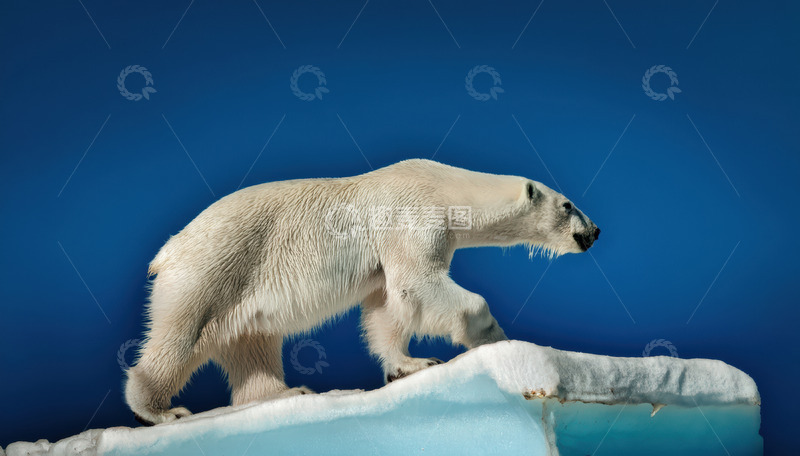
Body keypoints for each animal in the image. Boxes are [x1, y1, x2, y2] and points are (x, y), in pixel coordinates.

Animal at [124, 159, 599, 425]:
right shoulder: (412, 216)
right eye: (568, 204)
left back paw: (286, 393)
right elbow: (419, 282)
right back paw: (161, 409)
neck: (443, 186)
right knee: (181, 333)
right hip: (215, 268)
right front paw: (495, 340)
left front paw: (409, 365)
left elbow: (387, 306)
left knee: (251, 343)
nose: (593, 231)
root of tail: (167, 251)